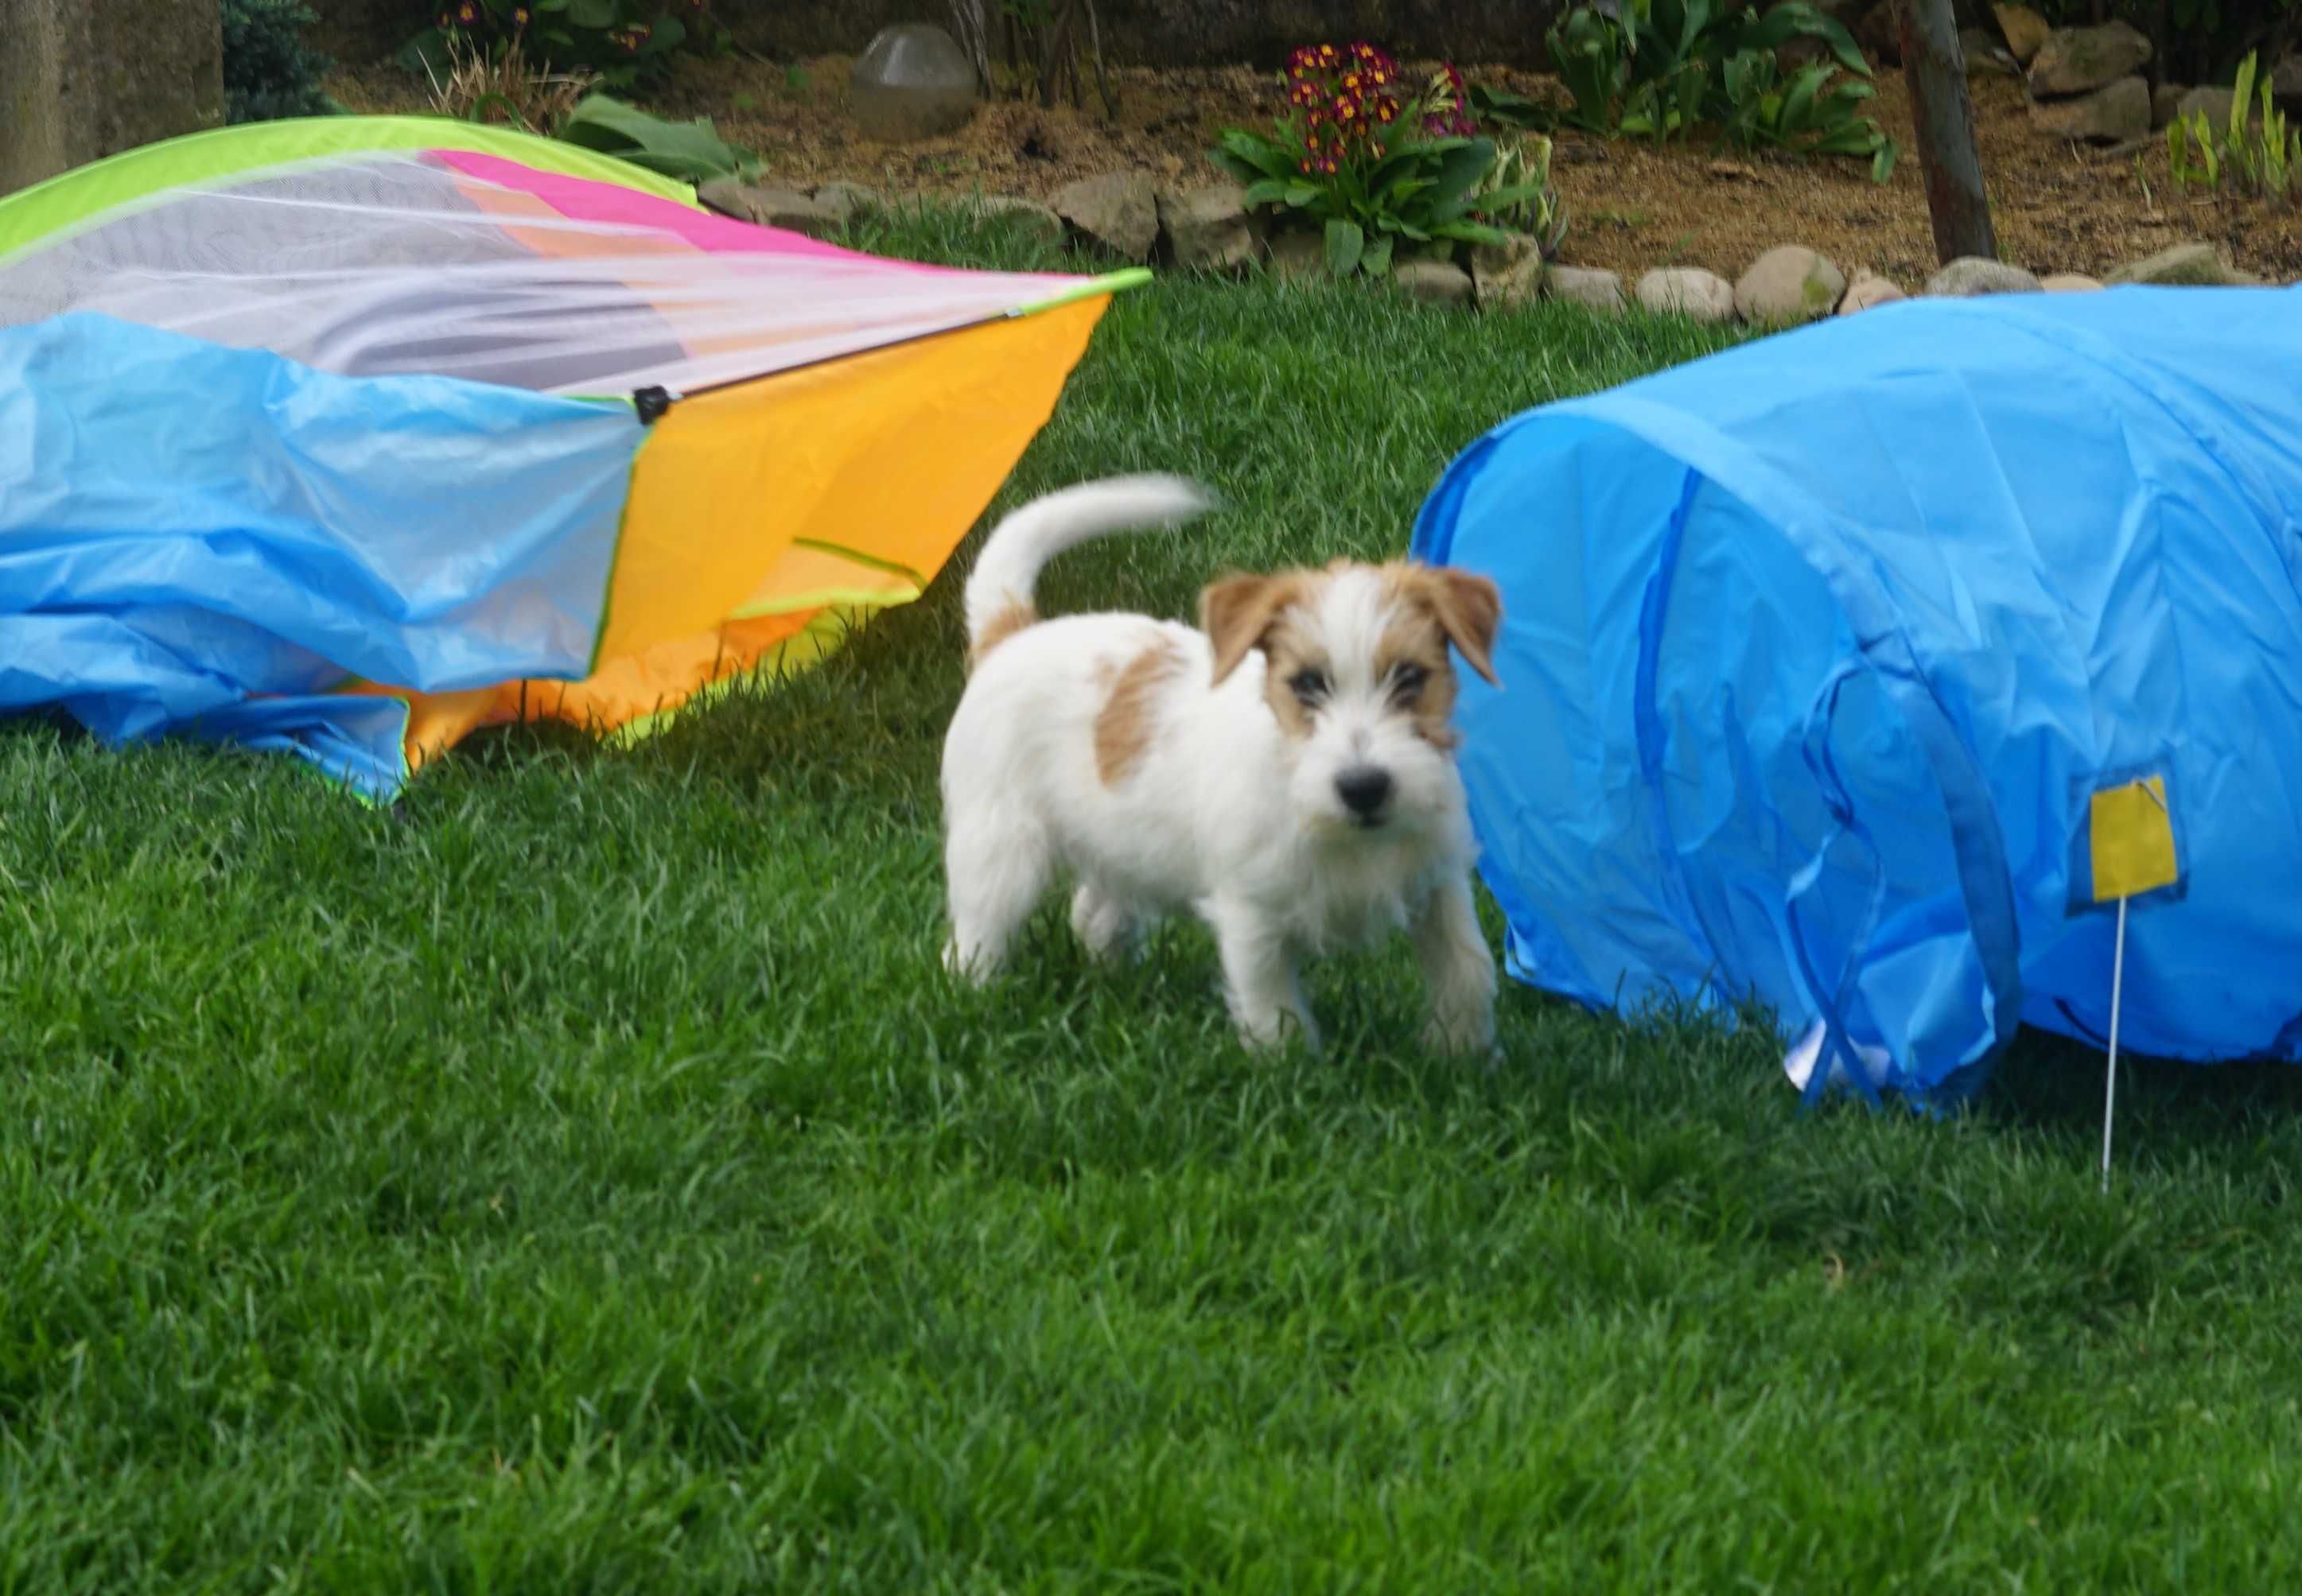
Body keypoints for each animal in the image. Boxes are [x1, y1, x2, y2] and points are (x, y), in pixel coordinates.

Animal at [939, 478, 1510, 1062]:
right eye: (1307, 683)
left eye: (1411, 677)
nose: (1364, 787)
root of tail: (1010, 634)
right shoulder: (1252, 917)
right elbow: (1273, 1009)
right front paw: (1292, 1069)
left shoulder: (1439, 885)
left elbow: (1468, 966)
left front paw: (1462, 1052)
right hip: (1001, 850)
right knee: (975, 936)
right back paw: (977, 998)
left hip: (1120, 844)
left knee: (1094, 910)